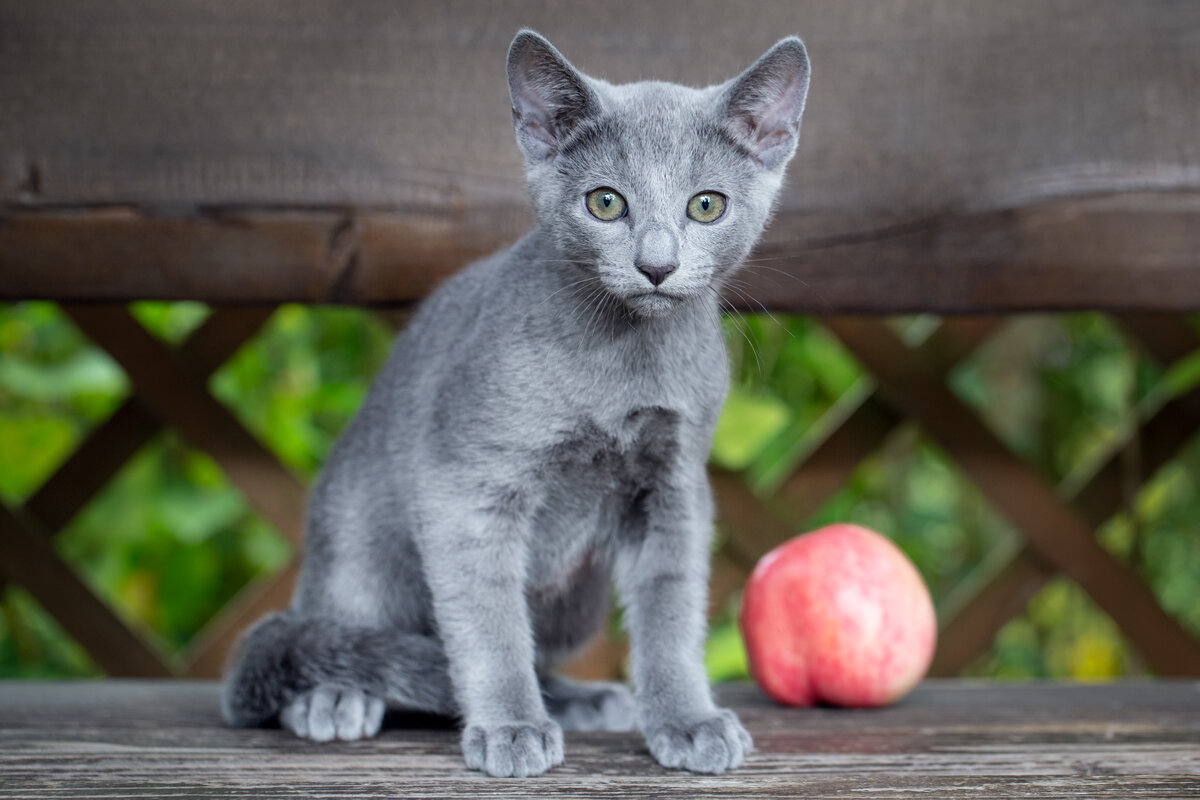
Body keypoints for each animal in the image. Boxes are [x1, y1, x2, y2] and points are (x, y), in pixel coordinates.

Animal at [220, 29, 811, 777]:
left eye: (706, 206)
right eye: (605, 203)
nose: (656, 266)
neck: (624, 362)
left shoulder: (674, 488)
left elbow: (671, 612)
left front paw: (686, 718)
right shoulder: (465, 486)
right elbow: (491, 623)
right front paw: (510, 725)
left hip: (579, 595)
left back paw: (580, 699)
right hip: (356, 540)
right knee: (339, 624)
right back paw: (333, 695)